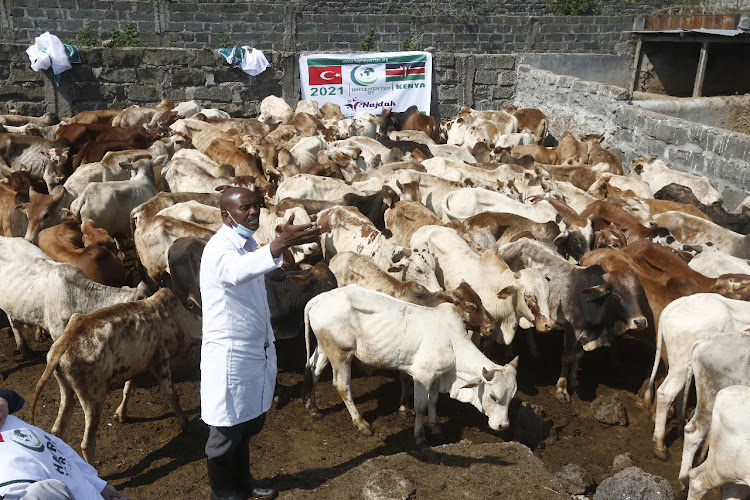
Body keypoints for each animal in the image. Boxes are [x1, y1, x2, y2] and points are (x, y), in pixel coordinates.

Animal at [29, 288, 201, 462]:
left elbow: (128, 389)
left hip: (67, 390)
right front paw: (186, 424)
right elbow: (172, 397)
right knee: (87, 443)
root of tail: (64, 342)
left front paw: (120, 415)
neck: (177, 321)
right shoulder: (161, 363)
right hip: (93, 397)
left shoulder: (137, 366)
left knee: (58, 430)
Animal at [302, 286, 520, 446]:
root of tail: (319, 299)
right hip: (341, 354)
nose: (503, 425)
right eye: (493, 396)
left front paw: (435, 429)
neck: (453, 342)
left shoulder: (437, 376)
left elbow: (433, 402)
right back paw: (361, 424)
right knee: (342, 386)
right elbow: (421, 406)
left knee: (314, 369)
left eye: (511, 397)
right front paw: (420, 436)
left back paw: (312, 407)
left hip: (325, 348)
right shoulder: (422, 375)